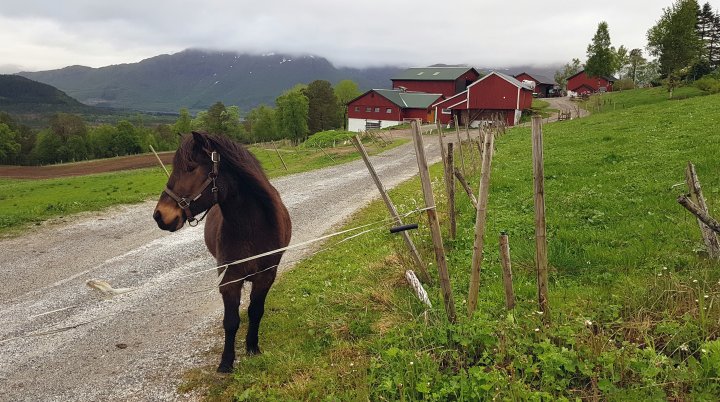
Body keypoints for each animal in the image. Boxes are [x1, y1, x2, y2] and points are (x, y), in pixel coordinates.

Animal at [153, 132, 292, 374]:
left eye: (191, 167)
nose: (160, 215)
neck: (251, 228)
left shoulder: (266, 276)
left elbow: (255, 312)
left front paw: (253, 348)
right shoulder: (230, 280)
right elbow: (231, 321)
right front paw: (226, 362)